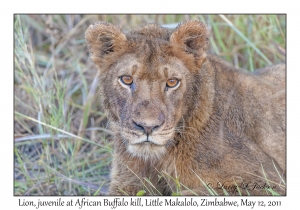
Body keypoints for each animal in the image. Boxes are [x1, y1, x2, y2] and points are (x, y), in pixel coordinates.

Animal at [85, 20, 286, 195]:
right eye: (126, 79)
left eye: (172, 82)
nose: (147, 127)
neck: (158, 159)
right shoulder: (126, 183)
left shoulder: (267, 182)